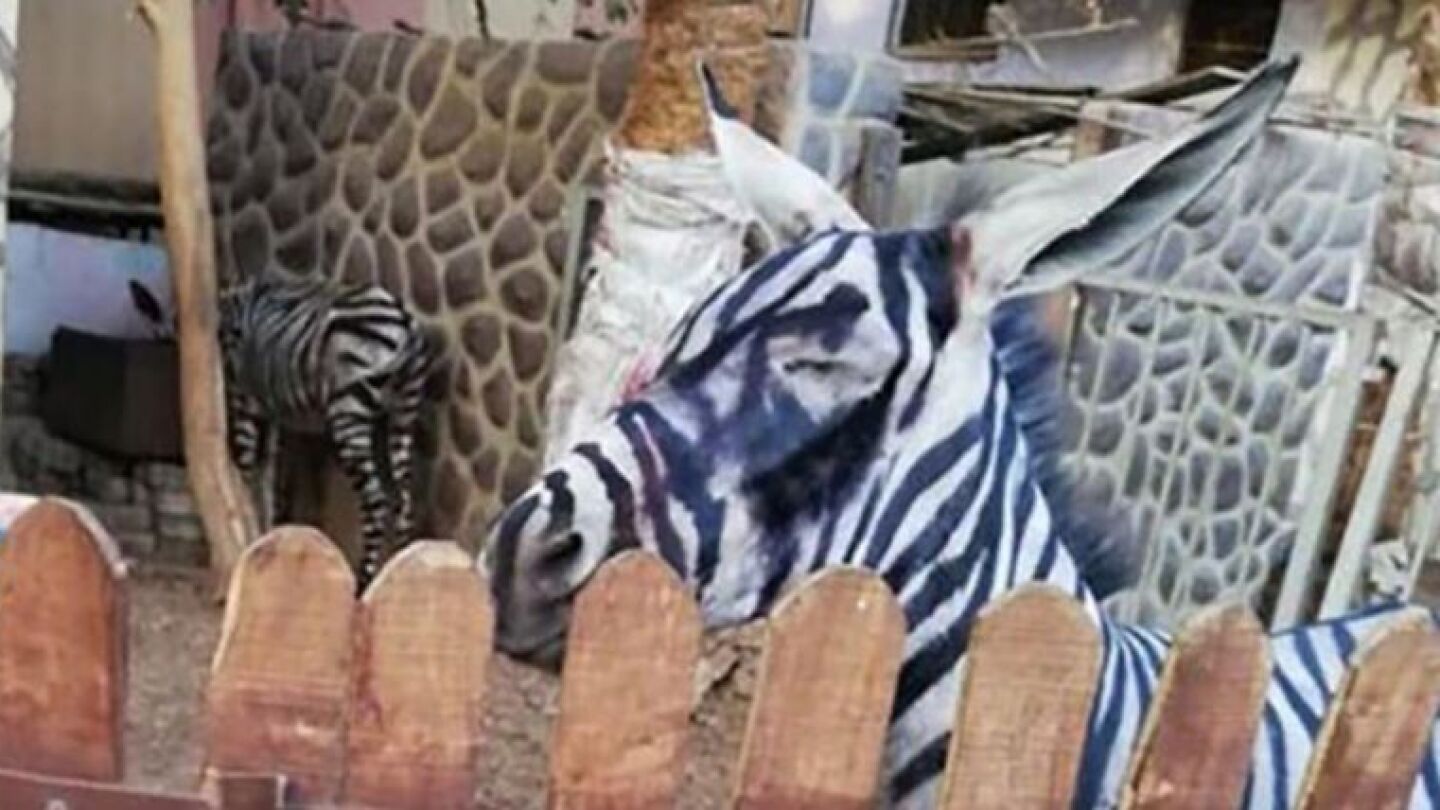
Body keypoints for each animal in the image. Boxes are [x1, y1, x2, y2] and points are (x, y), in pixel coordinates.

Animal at [218, 273, 433, 589]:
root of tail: (405, 322)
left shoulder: (245, 398)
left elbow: (248, 469)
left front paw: (250, 538)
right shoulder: (275, 412)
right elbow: (271, 478)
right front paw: (267, 534)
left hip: (348, 414)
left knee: (376, 501)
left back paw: (364, 579)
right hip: (404, 412)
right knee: (404, 501)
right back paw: (403, 569)